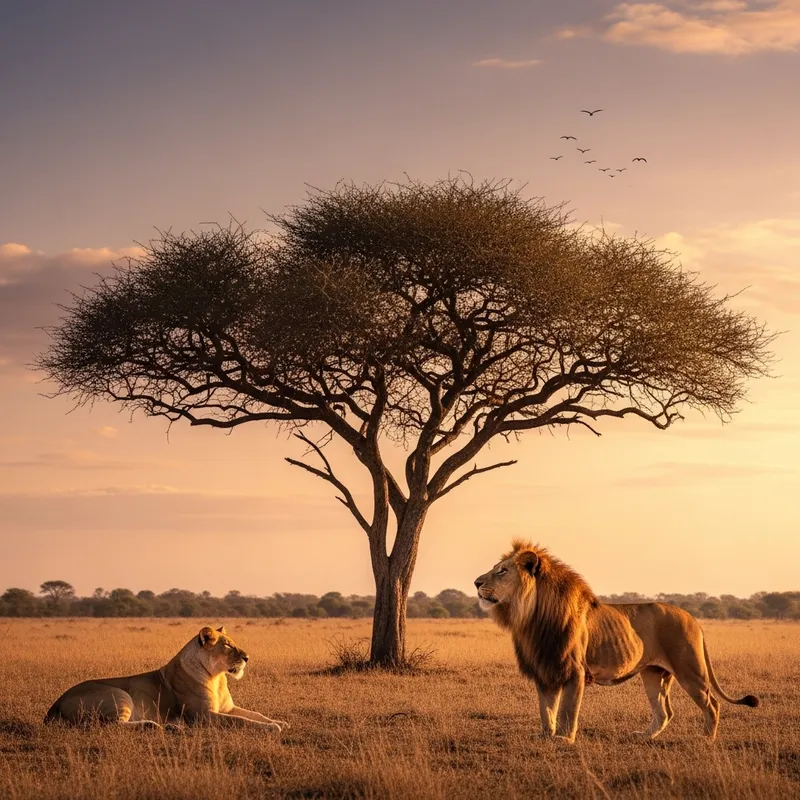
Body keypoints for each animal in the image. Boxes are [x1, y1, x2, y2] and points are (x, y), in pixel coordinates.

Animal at [45, 625, 289, 731]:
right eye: (227, 645)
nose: (247, 657)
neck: (218, 678)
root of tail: (54, 705)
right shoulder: (203, 716)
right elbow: (242, 721)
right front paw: (272, 729)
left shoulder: (227, 708)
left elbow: (255, 715)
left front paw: (280, 722)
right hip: (119, 695)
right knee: (108, 726)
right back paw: (154, 726)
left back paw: (171, 728)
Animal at [475, 541, 758, 743]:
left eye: (502, 571)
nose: (476, 582)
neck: (532, 618)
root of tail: (692, 617)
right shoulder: (546, 668)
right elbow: (546, 710)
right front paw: (545, 736)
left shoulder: (574, 671)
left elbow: (567, 709)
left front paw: (564, 739)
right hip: (654, 674)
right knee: (664, 712)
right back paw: (644, 737)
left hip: (690, 670)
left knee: (713, 704)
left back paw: (706, 739)